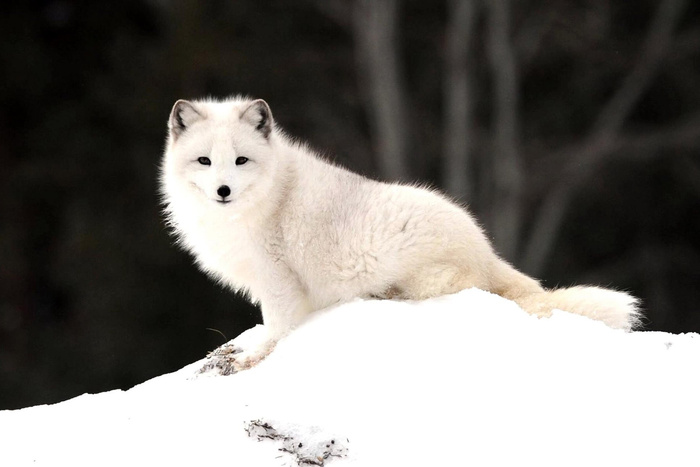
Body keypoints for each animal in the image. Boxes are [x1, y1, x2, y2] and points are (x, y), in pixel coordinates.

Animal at [161, 96, 644, 372]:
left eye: (241, 161)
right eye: (205, 161)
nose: (223, 191)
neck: (268, 196)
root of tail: (486, 249)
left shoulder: (277, 278)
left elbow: (277, 328)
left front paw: (251, 358)